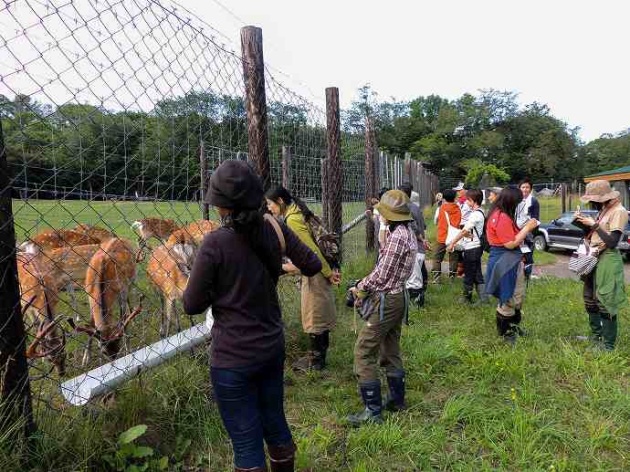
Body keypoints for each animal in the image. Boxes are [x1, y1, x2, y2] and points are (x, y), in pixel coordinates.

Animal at [83, 236, 138, 366]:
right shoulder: (89, 295)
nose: (114, 363)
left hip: (131, 281)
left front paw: (128, 349)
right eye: (103, 351)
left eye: (118, 346)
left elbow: (122, 319)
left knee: (128, 300)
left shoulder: (122, 289)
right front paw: (86, 358)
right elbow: (90, 323)